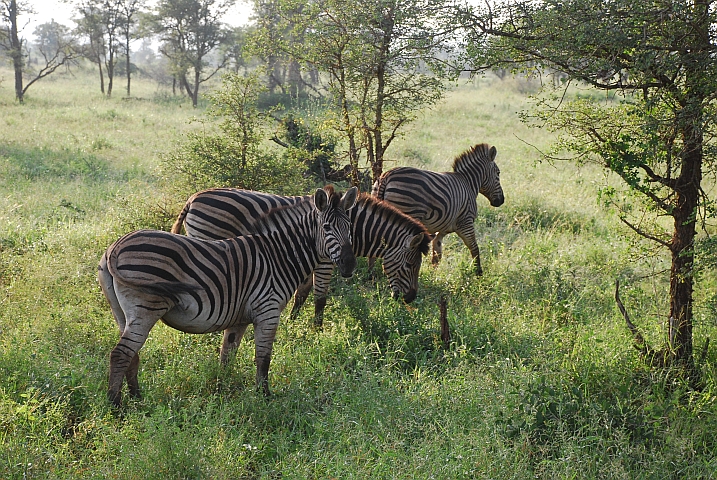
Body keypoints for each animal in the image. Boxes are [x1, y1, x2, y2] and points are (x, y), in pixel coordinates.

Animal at [98, 186, 357, 407]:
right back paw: (116, 406)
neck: (279, 256)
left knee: (131, 354)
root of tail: (114, 248)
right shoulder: (268, 310)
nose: (349, 265)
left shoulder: (240, 318)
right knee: (121, 354)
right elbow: (263, 358)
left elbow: (226, 356)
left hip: (121, 312)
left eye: (350, 227)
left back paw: (137, 399)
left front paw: (220, 391)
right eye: (326, 228)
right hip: (145, 308)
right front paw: (264, 398)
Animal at [171, 188, 432, 330]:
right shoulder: (325, 262)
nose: (411, 298)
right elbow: (320, 298)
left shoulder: (311, 262)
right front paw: (317, 330)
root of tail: (193, 198)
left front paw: (293, 322)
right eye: (410, 265)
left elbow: (301, 294)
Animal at [372, 143, 504, 275]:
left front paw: (433, 275)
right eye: (498, 173)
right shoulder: (466, 222)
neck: (469, 184)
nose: (501, 201)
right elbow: (474, 247)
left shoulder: (441, 229)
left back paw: (373, 271)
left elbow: (437, 254)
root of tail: (386, 176)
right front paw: (478, 273)